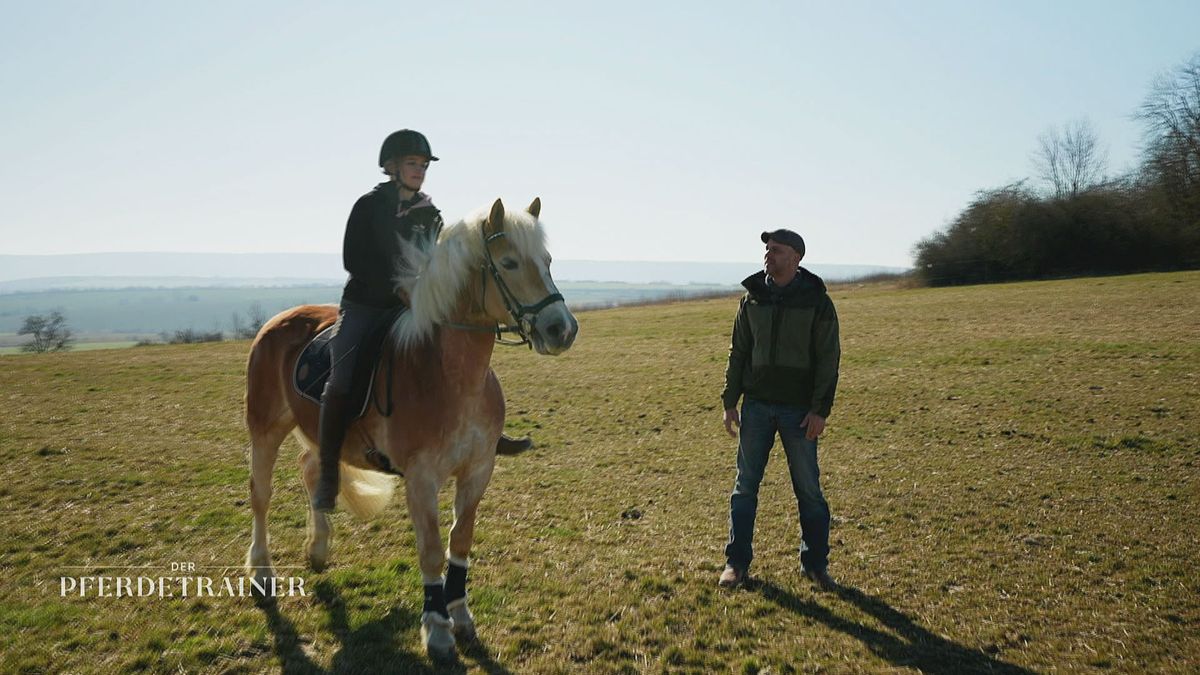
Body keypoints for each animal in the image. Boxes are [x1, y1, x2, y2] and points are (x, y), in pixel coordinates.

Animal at [241, 196, 578, 658]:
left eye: (546, 261)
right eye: (509, 263)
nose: (562, 328)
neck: (449, 375)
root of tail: (276, 321)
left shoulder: (478, 471)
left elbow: (460, 541)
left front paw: (461, 616)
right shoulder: (421, 479)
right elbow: (432, 551)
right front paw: (437, 631)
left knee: (312, 468)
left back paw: (319, 548)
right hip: (266, 428)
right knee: (261, 495)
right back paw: (262, 572)